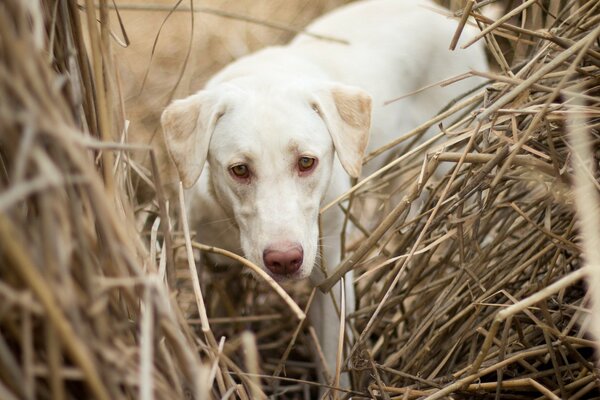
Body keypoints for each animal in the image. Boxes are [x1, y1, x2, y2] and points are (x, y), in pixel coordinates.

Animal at [161, 0, 488, 388]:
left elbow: (334, 364)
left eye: (306, 162)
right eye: (239, 169)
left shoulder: (330, 277)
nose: (284, 260)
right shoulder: (215, 268)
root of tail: (449, 16)